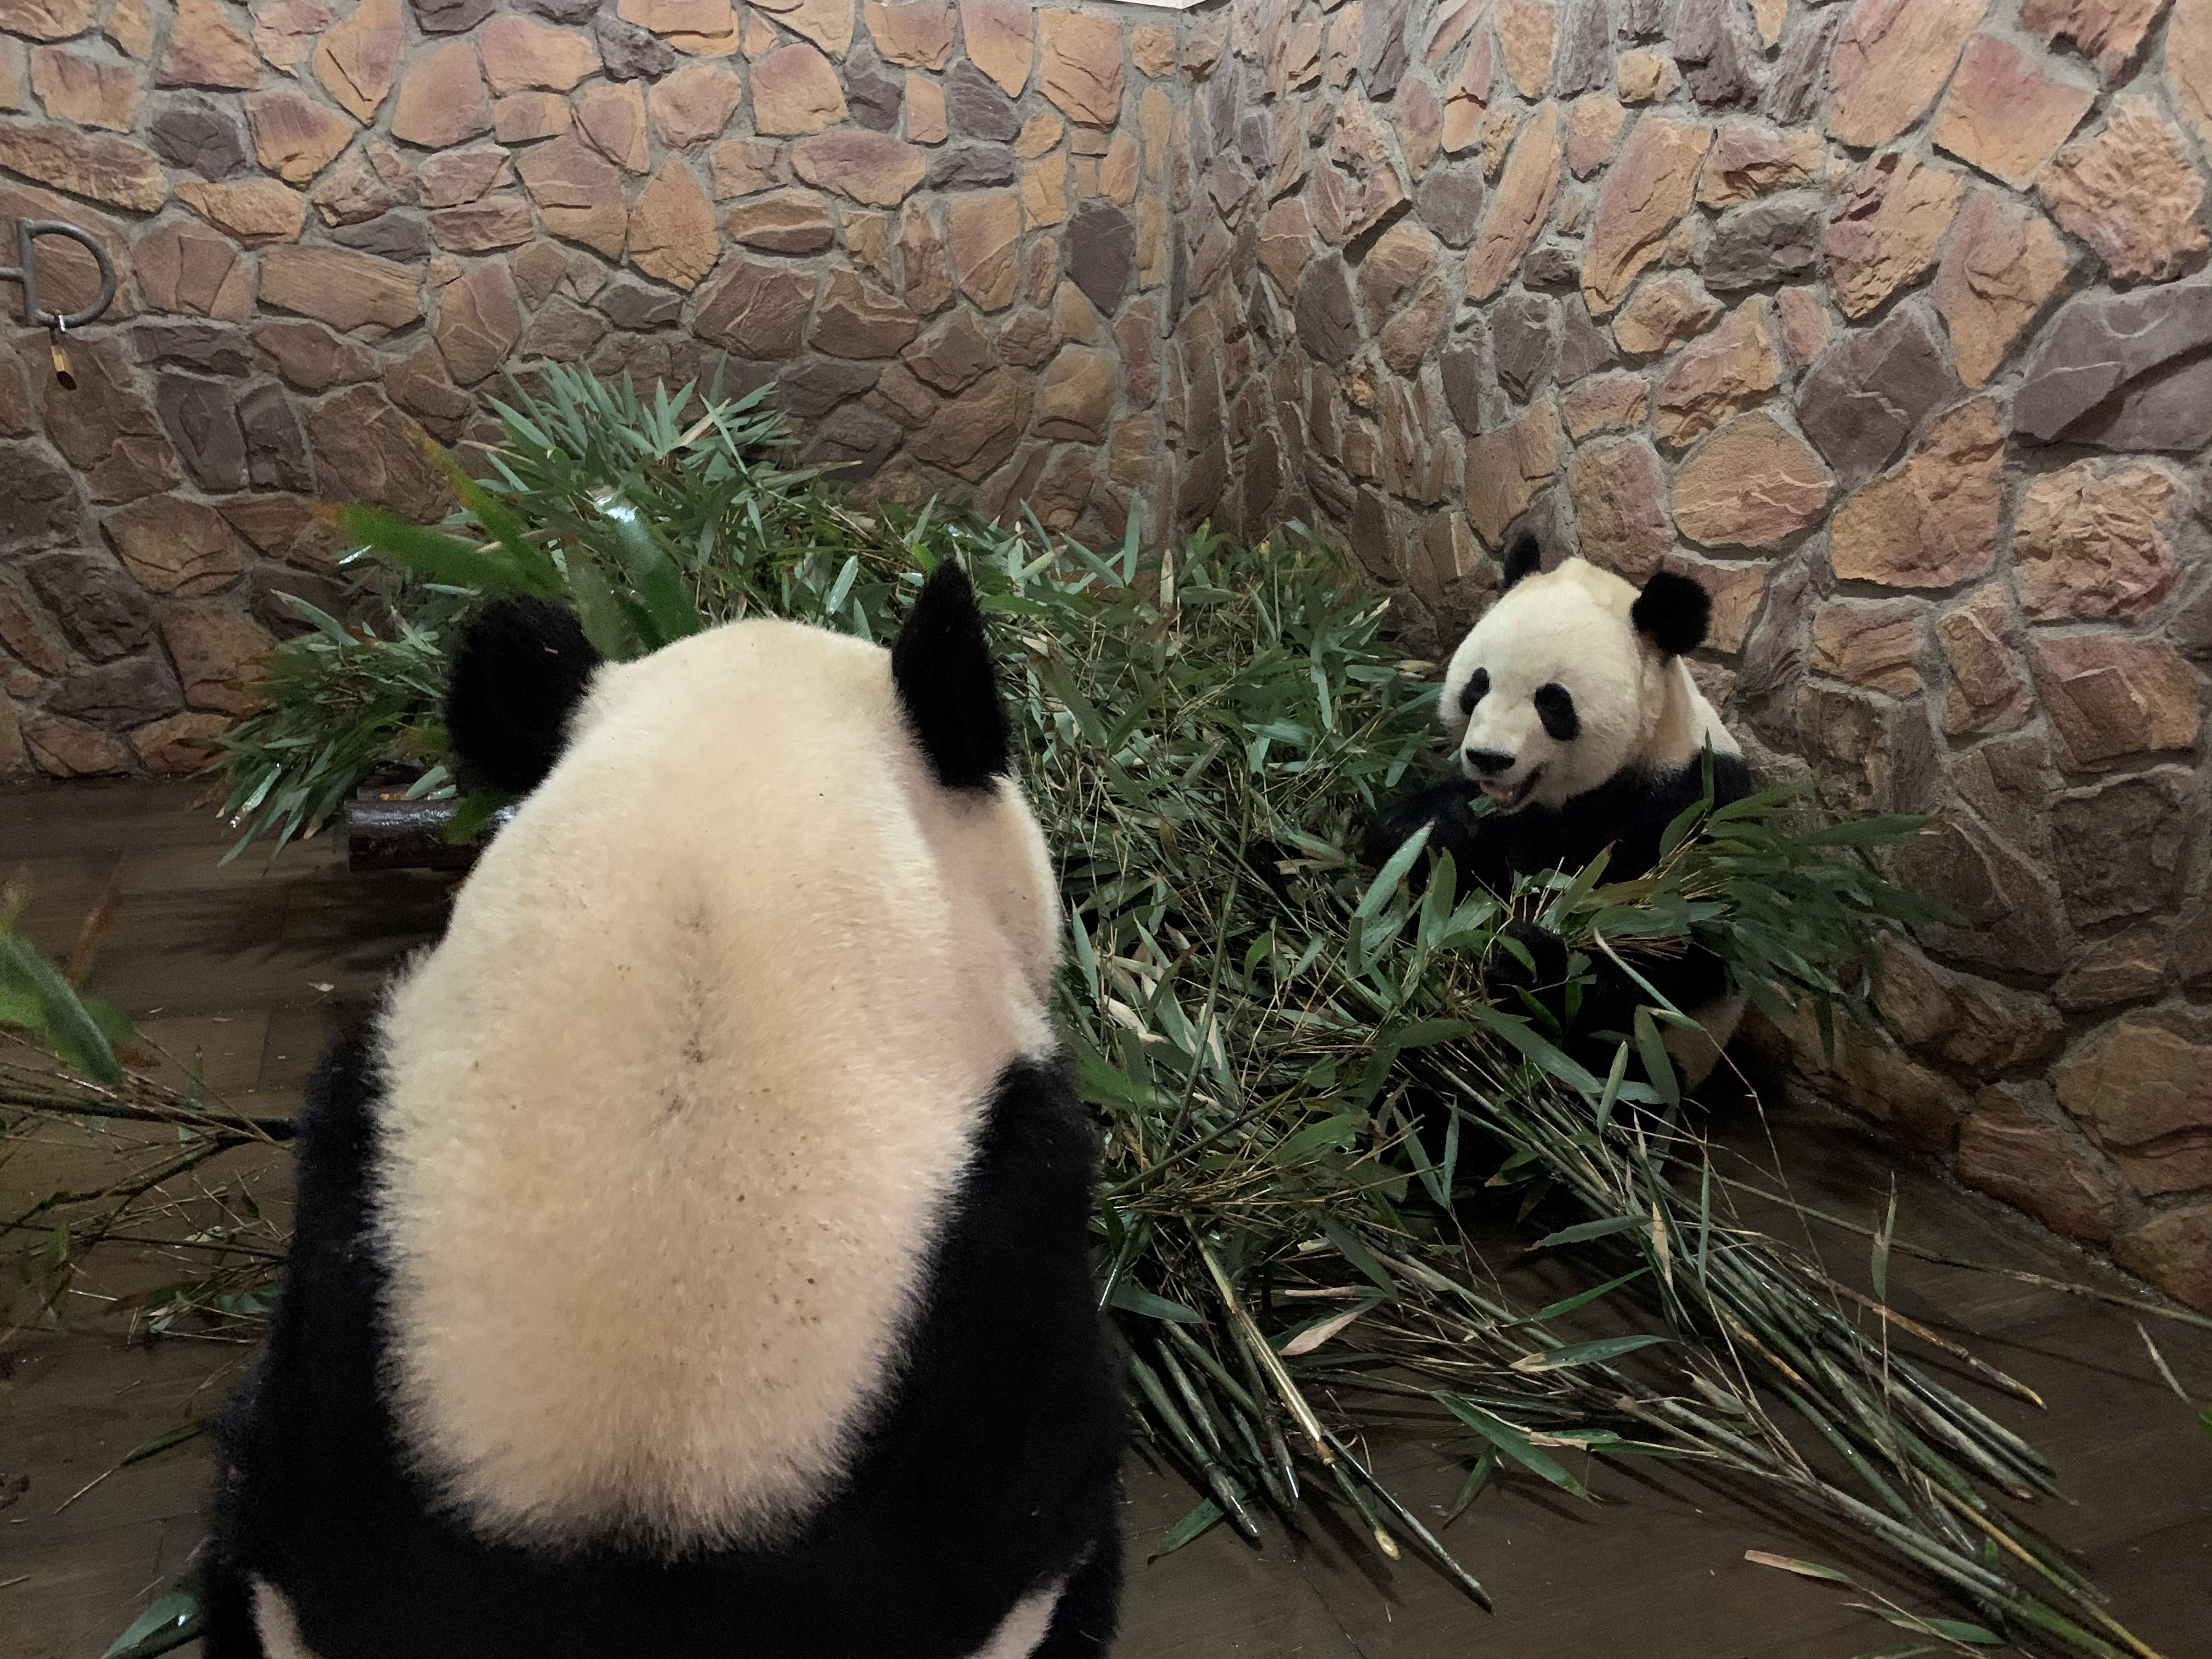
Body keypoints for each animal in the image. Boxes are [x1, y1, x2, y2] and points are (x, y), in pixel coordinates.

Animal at [1353, 535, 1752, 1092]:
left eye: (1554, 702)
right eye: (1478, 684)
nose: (1490, 757)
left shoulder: (1694, 810)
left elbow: (1670, 953)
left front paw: (1530, 961)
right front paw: (1429, 831)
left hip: (1662, 1062)